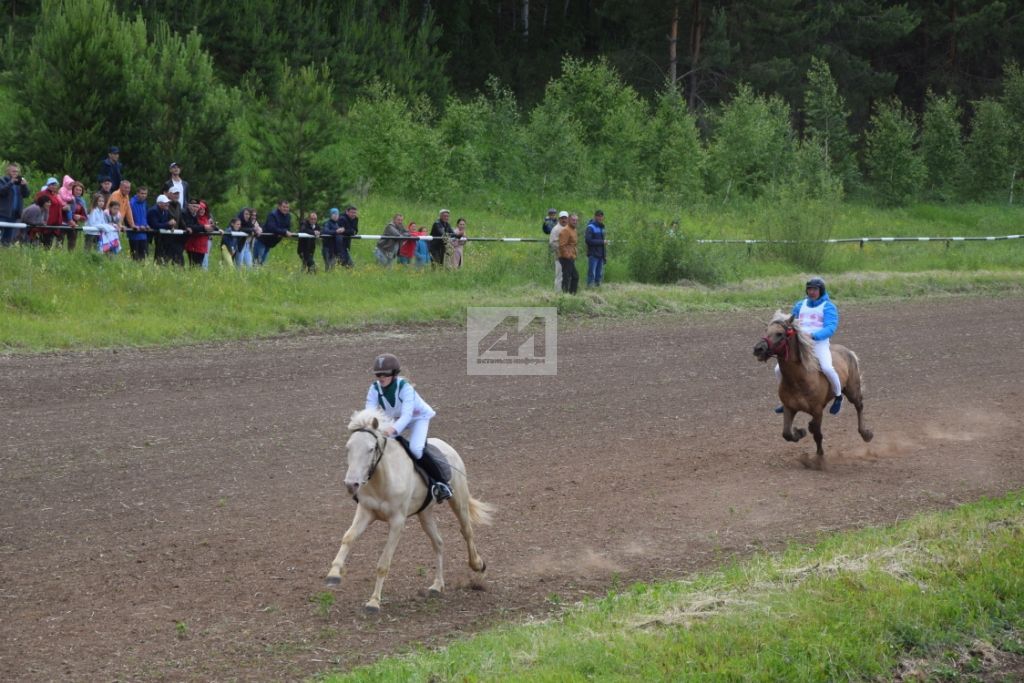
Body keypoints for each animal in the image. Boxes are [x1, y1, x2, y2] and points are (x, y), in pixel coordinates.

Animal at [323, 405, 491, 614]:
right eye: (348, 448)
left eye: (370, 449)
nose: (351, 484)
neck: (382, 479)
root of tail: (446, 446)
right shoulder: (365, 512)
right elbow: (348, 537)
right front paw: (333, 574)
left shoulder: (397, 522)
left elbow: (383, 563)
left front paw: (374, 602)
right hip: (425, 514)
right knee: (438, 542)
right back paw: (437, 585)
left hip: (458, 500)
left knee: (467, 531)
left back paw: (478, 564)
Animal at [753, 311, 872, 466]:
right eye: (766, 330)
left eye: (779, 333)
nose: (758, 349)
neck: (798, 379)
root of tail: (848, 351)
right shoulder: (789, 407)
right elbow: (786, 433)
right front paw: (800, 432)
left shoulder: (817, 411)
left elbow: (817, 434)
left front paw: (819, 459)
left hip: (852, 390)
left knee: (859, 406)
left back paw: (866, 434)